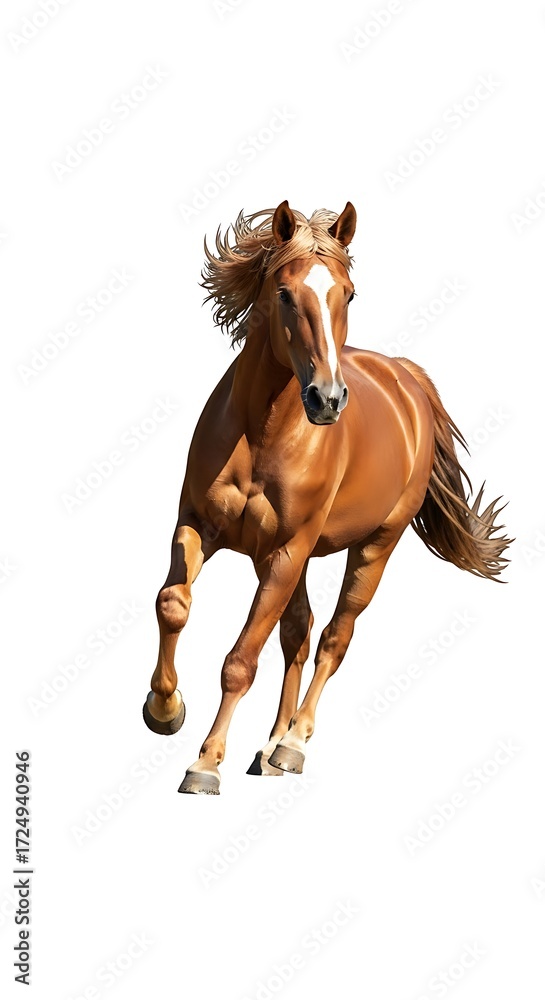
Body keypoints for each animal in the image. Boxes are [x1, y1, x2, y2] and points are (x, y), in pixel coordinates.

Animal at [142, 200, 510, 795]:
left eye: (350, 294)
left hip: (371, 547)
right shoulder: (201, 525)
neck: (262, 431)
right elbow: (173, 603)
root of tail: (406, 377)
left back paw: (292, 744)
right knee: (299, 632)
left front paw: (205, 764)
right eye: (284, 292)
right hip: (287, 559)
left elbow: (241, 662)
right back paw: (268, 747)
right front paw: (164, 709)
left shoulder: (287, 551)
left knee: (335, 636)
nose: (328, 399)